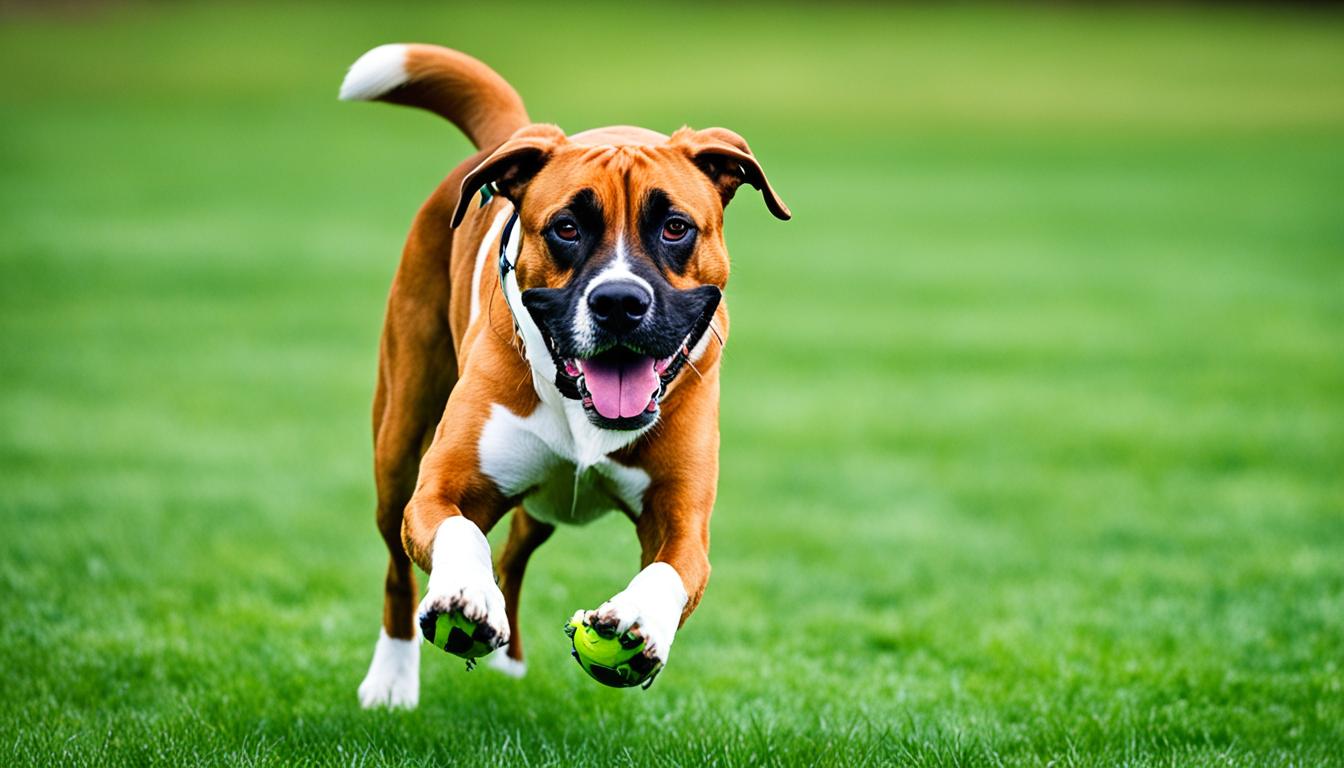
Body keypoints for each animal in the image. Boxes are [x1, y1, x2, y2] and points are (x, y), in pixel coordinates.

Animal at [336, 43, 790, 710]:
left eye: (675, 227)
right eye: (567, 228)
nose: (620, 301)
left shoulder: (683, 521)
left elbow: (671, 568)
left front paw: (637, 623)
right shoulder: (438, 490)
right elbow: (458, 531)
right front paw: (465, 600)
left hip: (541, 504)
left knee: (516, 550)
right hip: (397, 445)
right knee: (400, 567)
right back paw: (391, 679)